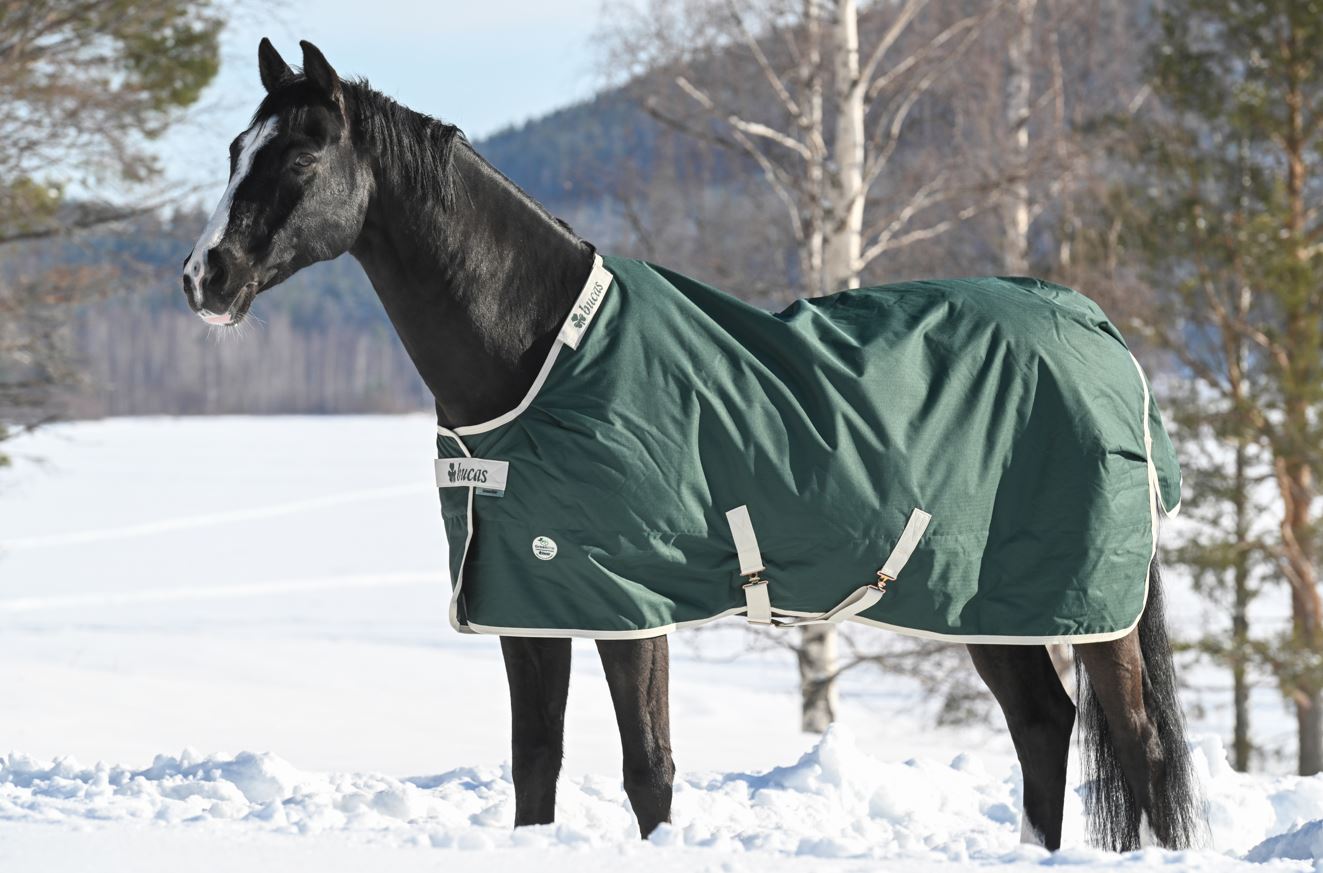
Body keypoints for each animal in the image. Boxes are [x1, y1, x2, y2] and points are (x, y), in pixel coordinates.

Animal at [180, 39, 1205, 852]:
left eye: (302, 154)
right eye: (235, 150)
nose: (204, 276)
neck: (543, 350)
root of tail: (1096, 326)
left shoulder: (630, 604)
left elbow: (649, 768)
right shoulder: (528, 600)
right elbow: (534, 765)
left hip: (1086, 600)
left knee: (1136, 741)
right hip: (986, 600)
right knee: (1042, 722)